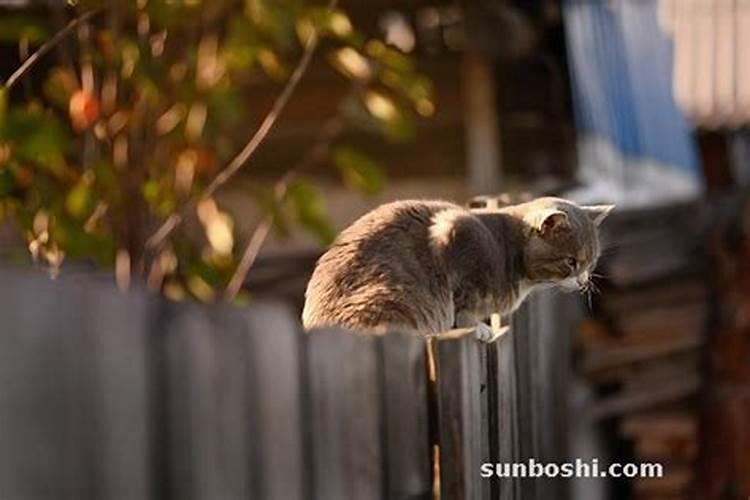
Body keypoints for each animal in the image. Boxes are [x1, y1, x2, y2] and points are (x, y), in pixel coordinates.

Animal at [302, 195, 612, 340]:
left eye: (591, 262)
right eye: (571, 262)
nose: (583, 280)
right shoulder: (454, 231)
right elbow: (461, 304)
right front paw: (478, 327)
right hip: (386, 296)